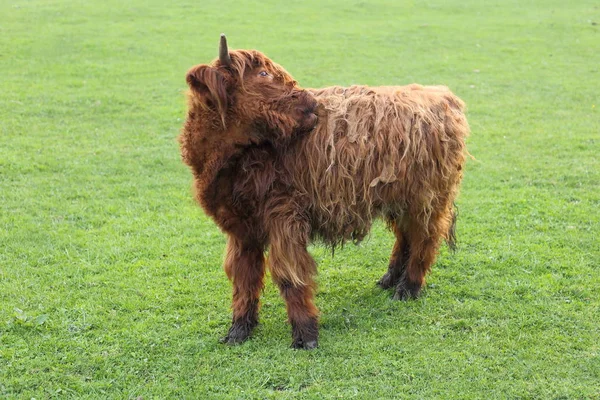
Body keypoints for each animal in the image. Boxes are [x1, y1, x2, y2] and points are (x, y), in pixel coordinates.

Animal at [178, 34, 468, 348]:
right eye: (264, 74)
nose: (312, 103)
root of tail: (442, 95)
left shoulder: (284, 217)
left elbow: (290, 275)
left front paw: (305, 335)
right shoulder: (241, 228)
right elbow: (243, 277)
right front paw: (239, 330)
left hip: (426, 198)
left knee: (425, 238)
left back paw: (408, 288)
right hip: (397, 198)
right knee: (405, 236)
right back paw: (390, 279)